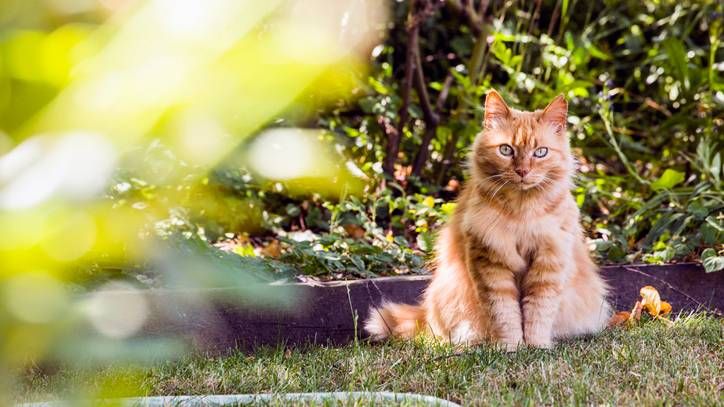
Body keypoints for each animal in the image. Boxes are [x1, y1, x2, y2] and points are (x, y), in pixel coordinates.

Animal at [368, 90, 612, 350]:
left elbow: (538, 313)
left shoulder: (548, 264)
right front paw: (511, 348)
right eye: (506, 150)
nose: (522, 171)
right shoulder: (491, 264)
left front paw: (536, 346)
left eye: (540, 152)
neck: (521, 214)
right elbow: (505, 315)